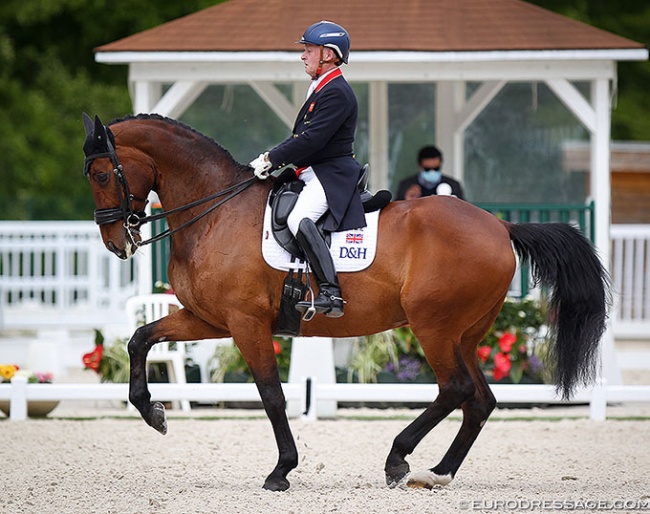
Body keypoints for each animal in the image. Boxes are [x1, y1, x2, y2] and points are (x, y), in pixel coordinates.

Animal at [81, 113, 608, 492]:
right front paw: (152, 412)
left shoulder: (246, 322)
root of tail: (500, 225)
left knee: (455, 388)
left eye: (103, 173)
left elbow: (271, 394)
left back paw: (398, 459)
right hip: (465, 333)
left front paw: (282, 471)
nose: (115, 242)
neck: (214, 210)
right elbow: (139, 339)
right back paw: (437, 472)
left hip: (434, 326)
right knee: (479, 399)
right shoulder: (209, 319)